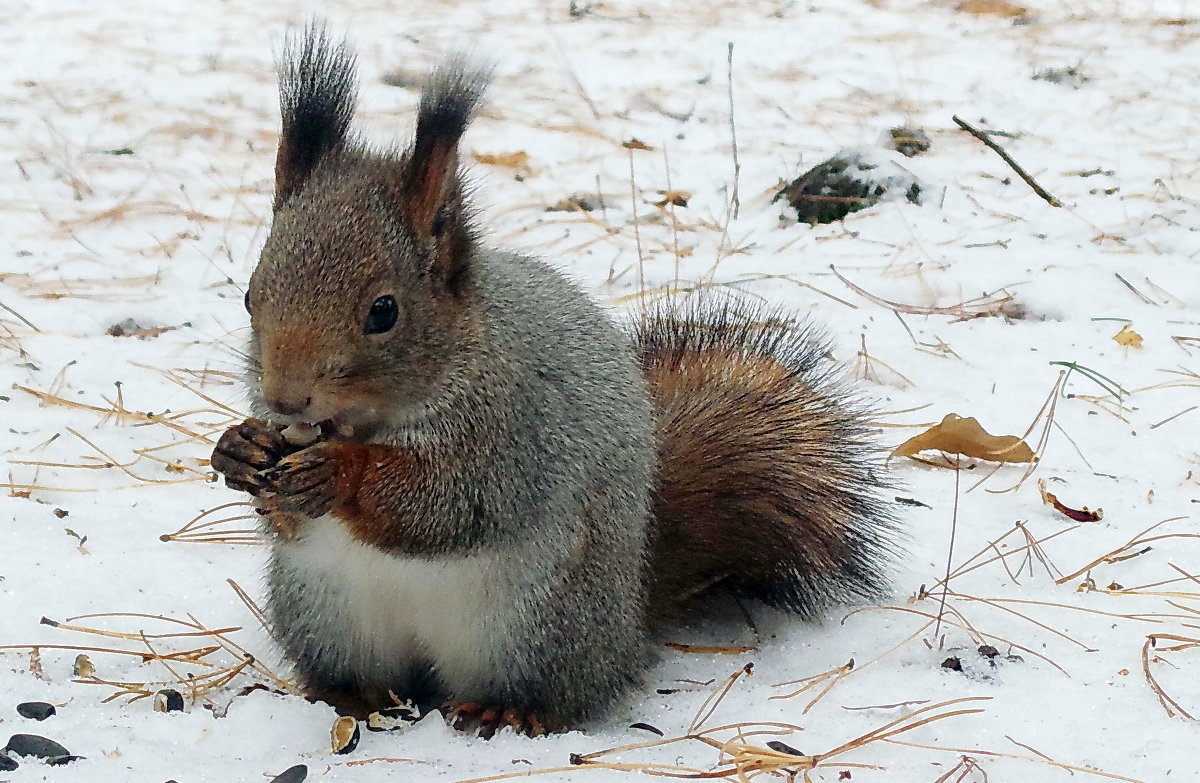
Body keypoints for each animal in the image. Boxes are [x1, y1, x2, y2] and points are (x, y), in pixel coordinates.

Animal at [211, 29, 897, 739]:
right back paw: (357, 697)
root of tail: (627, 621)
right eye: (249, 296)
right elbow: (284, 522)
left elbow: (448, 506)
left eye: (383, 312)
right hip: (325, 612)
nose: (284, 399)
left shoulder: (515, 432)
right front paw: (239, 450)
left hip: (535, 624)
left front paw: (339, 472)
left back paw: (504, 707)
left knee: (554, 692)